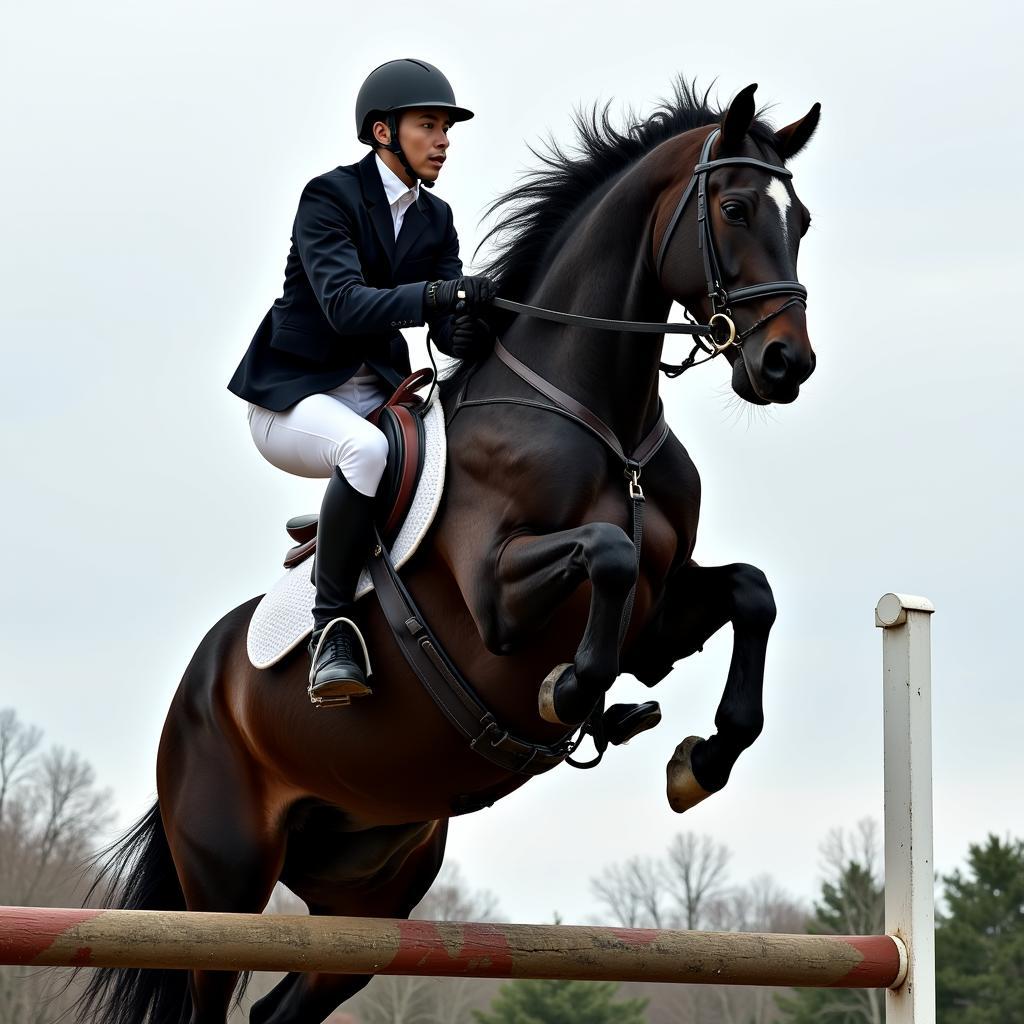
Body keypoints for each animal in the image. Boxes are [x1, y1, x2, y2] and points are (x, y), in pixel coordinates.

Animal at [83, 81, 823, 1024]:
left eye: (800, 219)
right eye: (733, 209)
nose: (786, 364)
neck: (604, 422)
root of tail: (194, 690)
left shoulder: (661, 620)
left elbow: (750, 594)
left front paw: (700, 760)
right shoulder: (500, 601)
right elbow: (608, 554)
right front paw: (571, 694)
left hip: (371, 891)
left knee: (284, 1003)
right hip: (223, 886)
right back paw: (341, 661)